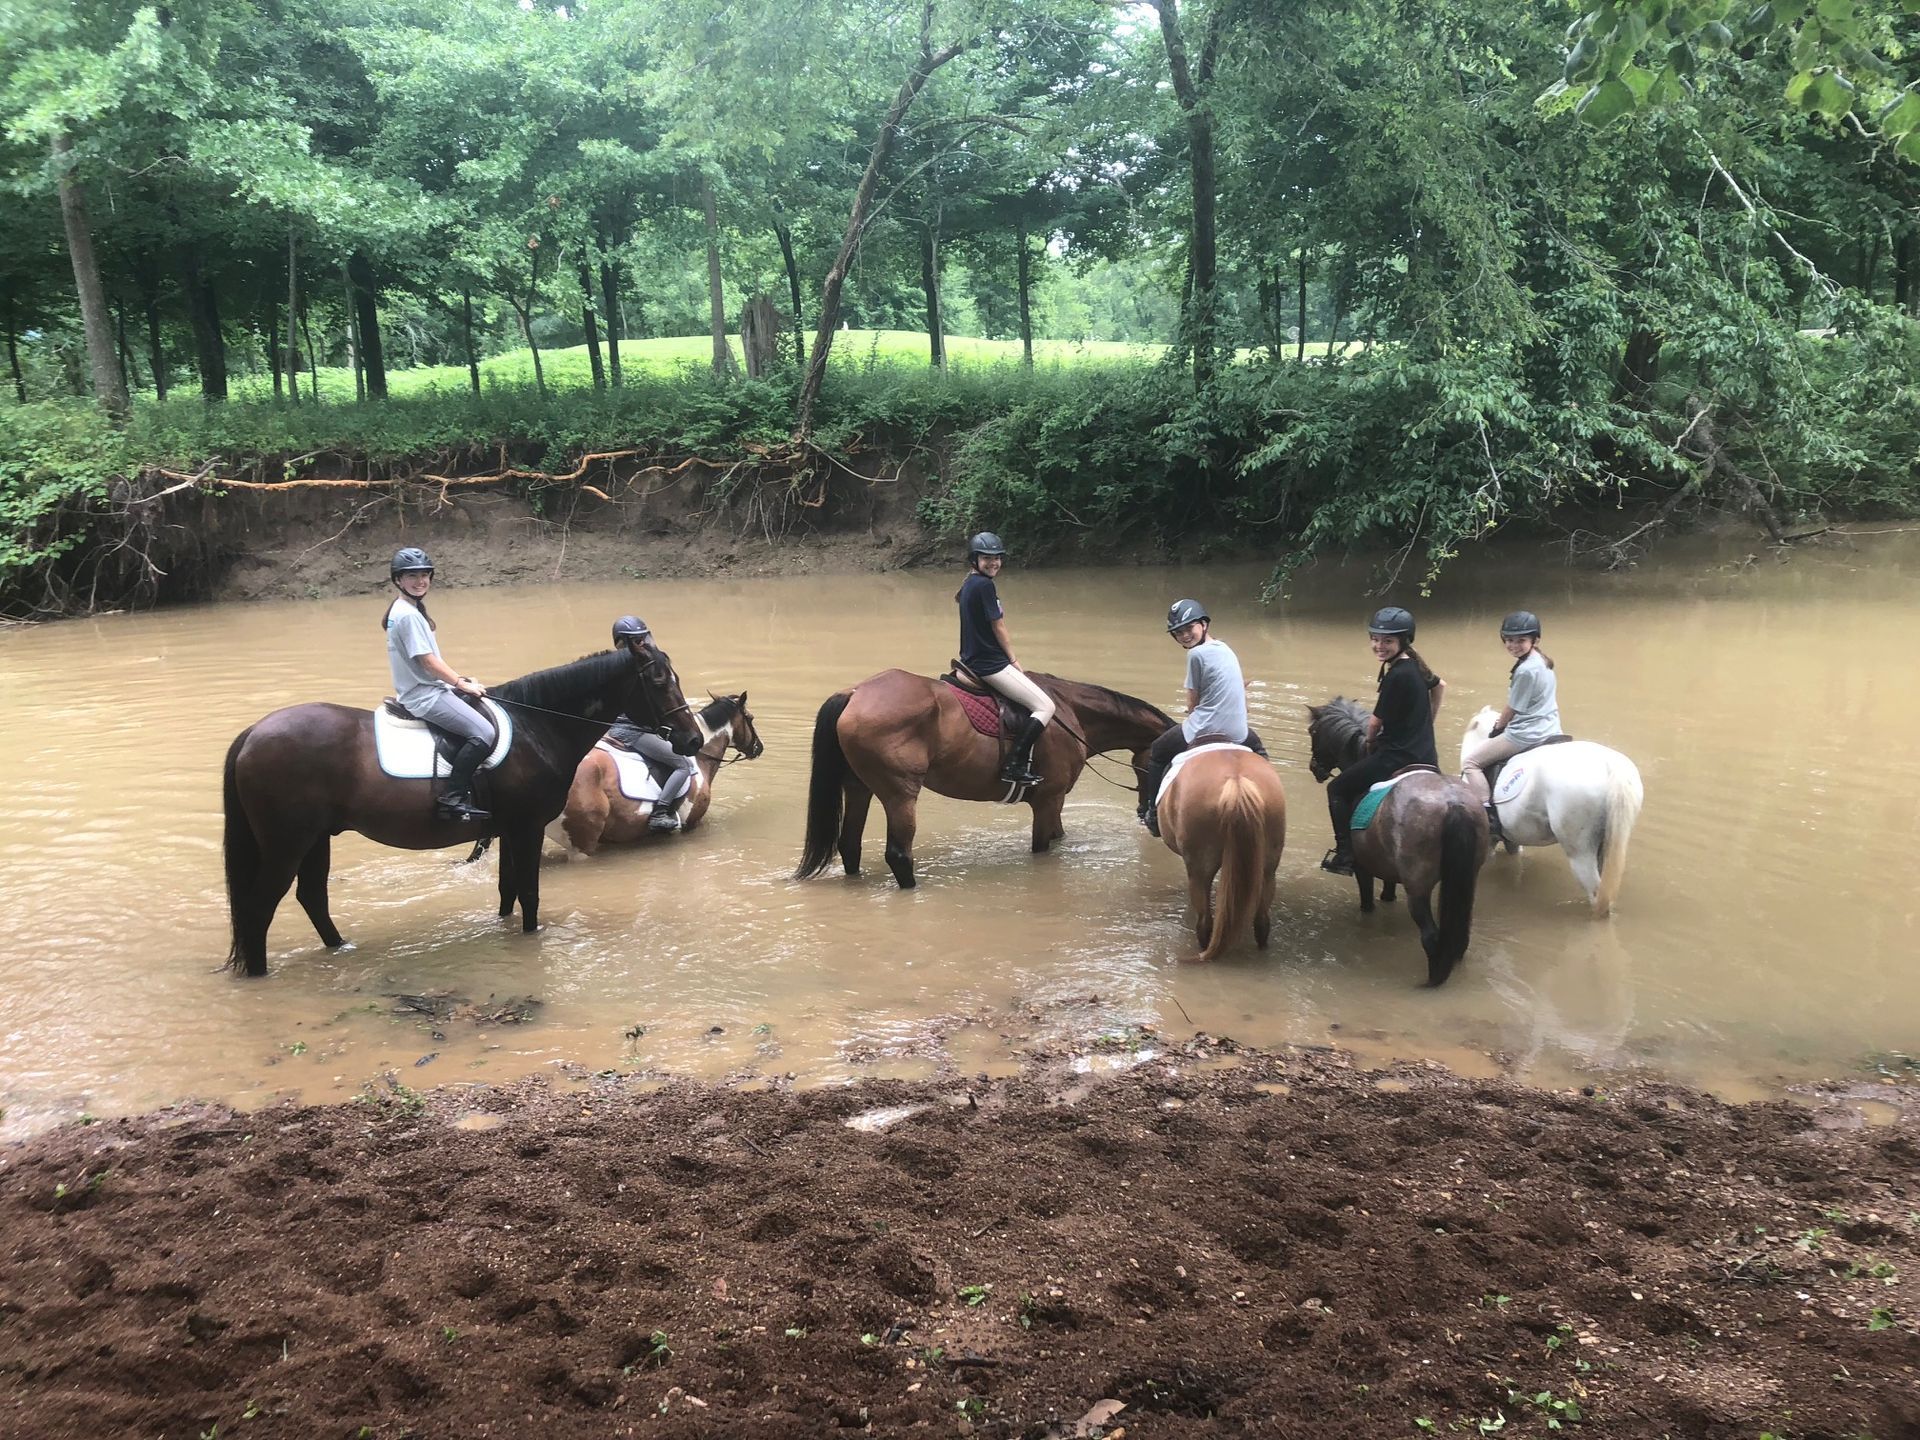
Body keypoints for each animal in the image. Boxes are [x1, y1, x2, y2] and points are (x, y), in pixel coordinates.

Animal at [221, 645, 699, 976]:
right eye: (659, 681)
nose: (692, 740)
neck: (538, 727)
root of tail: (253, 732)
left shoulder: (508, 830)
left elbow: (507, 891)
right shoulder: (527, 828)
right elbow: (529, 893)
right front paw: (532, 941)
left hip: (316, 838)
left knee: (312, 898)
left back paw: (340, 950)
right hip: (287, 843)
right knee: (260, 907)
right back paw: (261, 975)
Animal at [794, 670, 1172, 888]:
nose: (1149, 817)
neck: (1071, 713)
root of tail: (855, 693)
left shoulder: (1055, 801)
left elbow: (1059, 837)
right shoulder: (1049, 799)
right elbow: (1043, 849)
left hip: (859, 788)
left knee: (849, 844)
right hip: (900, 794)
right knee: (899, 854)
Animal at [1306, 698, 1490, 986]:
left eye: (1313, 732)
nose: (1315, 768)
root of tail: (1454, 804)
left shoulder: (1364, 868)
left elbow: (1367, 904)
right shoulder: (1388, 869)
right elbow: (1388, 895)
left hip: (1418, 887)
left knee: (1430, 936)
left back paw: (1429, 984)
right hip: (1467, 878)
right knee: (1461, 934)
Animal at [1459, 706, 1644, 917]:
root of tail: (1611, 766)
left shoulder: (1489, 839)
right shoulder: (1511, 839)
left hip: (1579, 851)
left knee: (1597, 895)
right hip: (1607, 844)